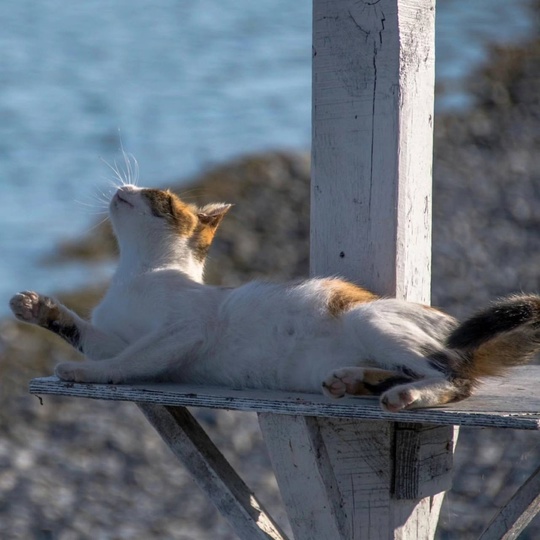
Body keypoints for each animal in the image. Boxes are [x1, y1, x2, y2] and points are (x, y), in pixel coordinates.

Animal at [8, 184, 540, 412]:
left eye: (157, 197)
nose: (124, 186)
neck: (138, 269)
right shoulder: (119, 335)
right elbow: (93, 337)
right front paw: (39, 308)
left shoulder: (185, 330)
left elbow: (125, 361)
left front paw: (87, 374)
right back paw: (355, 380)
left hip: (370, 320)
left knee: (454, 378)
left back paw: (405, 394)